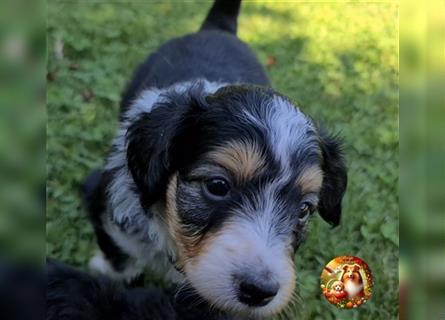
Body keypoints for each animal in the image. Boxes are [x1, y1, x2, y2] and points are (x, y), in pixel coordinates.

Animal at [84, 0, 346, 318]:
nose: (259, 291)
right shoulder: (103, 203)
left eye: (304, 210)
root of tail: (216, 28)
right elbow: (117, 253)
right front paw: (104, 274)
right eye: (217, 186)